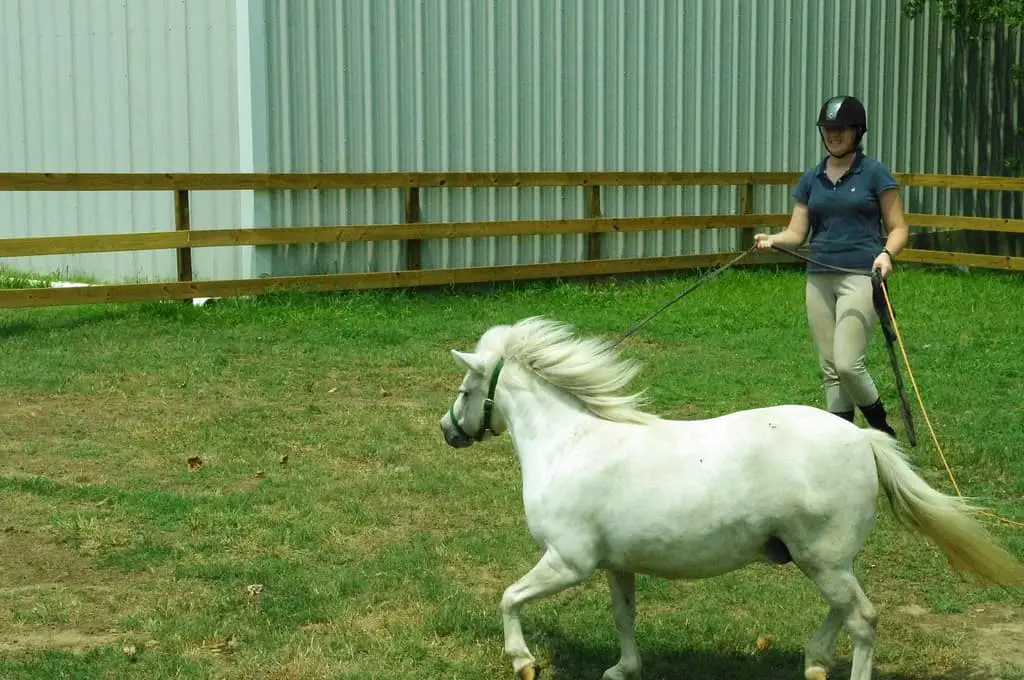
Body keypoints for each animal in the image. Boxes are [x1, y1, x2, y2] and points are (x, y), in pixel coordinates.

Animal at [438, 317, 1024, 680]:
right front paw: (624, 668)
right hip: (824, 560)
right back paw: (814, 661)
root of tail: (863, 439)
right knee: (845, 610)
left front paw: (522, 661)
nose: (447, 430)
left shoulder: (567, 561)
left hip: (823, 559)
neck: (570, 443)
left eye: (466, 389)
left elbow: (509, 597)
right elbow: (624, 617)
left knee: (863, 618)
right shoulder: (617, 565)